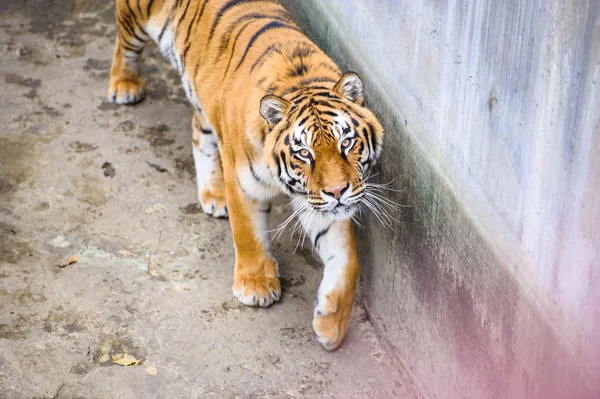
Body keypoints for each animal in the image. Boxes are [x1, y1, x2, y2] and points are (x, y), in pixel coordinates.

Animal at [108, 0, 384, 350]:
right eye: (304, 153)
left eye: (346, 143)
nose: (338, 192)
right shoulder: (244, 183)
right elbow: (247, 233)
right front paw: (255, 286)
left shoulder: (318, 202)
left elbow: (348, 262)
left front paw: (331, 326)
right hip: (136, 18)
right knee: (124, 44)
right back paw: (124, 86)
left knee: (198, 129)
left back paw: (213, 195)